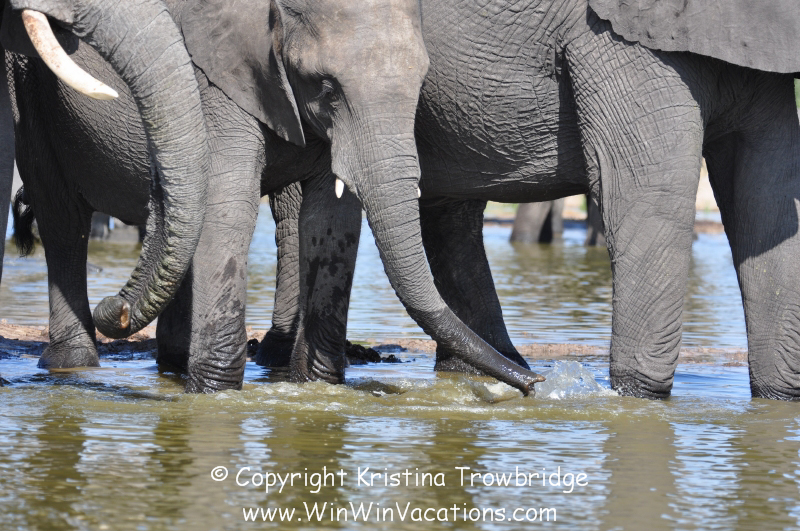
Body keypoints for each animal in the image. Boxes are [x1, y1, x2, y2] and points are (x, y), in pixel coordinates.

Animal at [263, 0, 800, 400]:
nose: (541, 386)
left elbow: (768, 206)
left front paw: (779, 398)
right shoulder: (621, 38)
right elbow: (648, 201)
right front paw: (637, 401)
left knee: (448, 209)